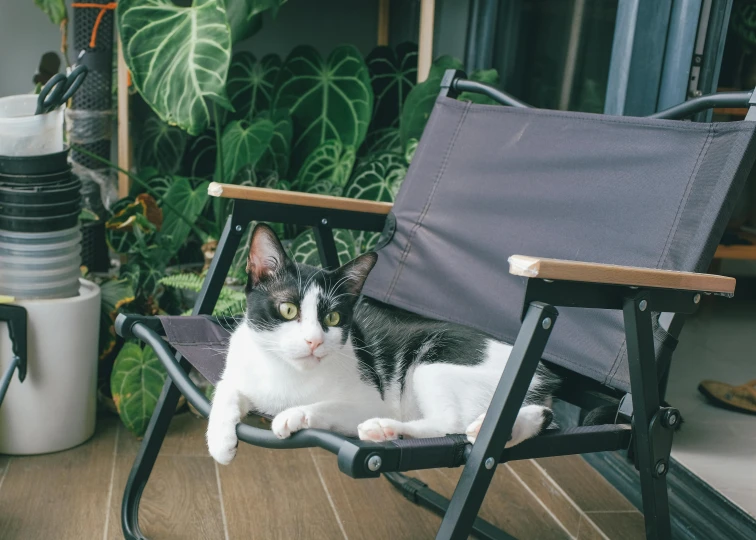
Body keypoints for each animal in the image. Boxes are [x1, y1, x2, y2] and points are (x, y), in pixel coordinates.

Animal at [207, 223, 556, 464]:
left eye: (333, 317)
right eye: (288, 310)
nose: (314, 341)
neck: (288, 373)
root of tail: (543, 375)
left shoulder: (370, 397)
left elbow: (330, 405)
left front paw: (295, 415)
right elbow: (225, 387)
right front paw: (220, 441)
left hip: (432, 364)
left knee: (448, 423)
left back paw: (382, 427)